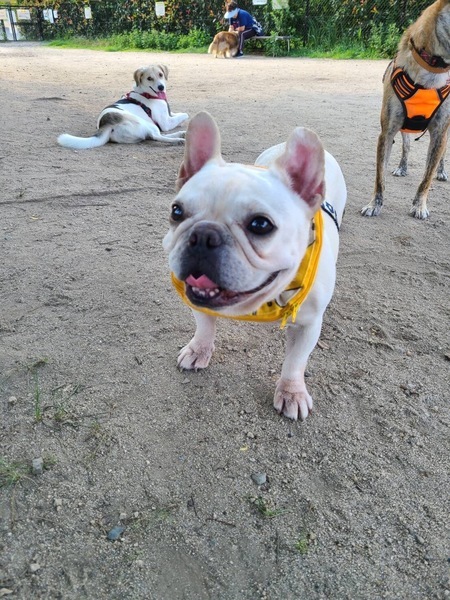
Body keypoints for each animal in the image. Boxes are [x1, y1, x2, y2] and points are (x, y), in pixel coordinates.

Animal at [57, 65, 188, 150]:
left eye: (161, 75)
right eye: (149, 78)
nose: (161, 87)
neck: (146, 93)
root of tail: (106, 124)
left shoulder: (169, 116)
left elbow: (177, 114)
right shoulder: (166, 123)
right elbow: (185, 114)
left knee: (153, 136)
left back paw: (181, 134)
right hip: (147, 124)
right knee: (156, 136)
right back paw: (179, 140)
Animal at [163, 112, 347, 421]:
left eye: (261, 225)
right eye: (176, 212)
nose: (203, 235)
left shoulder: (309, 325)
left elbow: (295, 361)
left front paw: (291, 392)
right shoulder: (197, 301)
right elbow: (204, 327)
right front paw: (199, 350)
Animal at [362, 0, 450, 219]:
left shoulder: (440, 133)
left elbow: (426, 177)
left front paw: (419, 205)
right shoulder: (387, 132)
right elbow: (379, 176)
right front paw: (374, 204)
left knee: (442, 155)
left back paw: (442, 172)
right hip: (404, 129)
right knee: (407, 147)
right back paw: (402, 167)